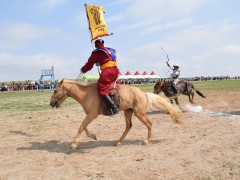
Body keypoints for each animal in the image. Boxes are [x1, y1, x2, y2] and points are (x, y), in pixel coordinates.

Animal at [49, 79, 181, 149]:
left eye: (55, 90)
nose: (51, 103)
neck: (86, 94)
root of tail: (143, 94)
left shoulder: (92, 115)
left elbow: (81, 127)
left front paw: (74, 144)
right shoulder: (89, 115)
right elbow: (84, 127)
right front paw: (93, 136)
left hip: (140, 114)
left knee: (149, 124)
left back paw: (147, 141)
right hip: (128, 113)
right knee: (128, 126)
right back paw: (119, 141)